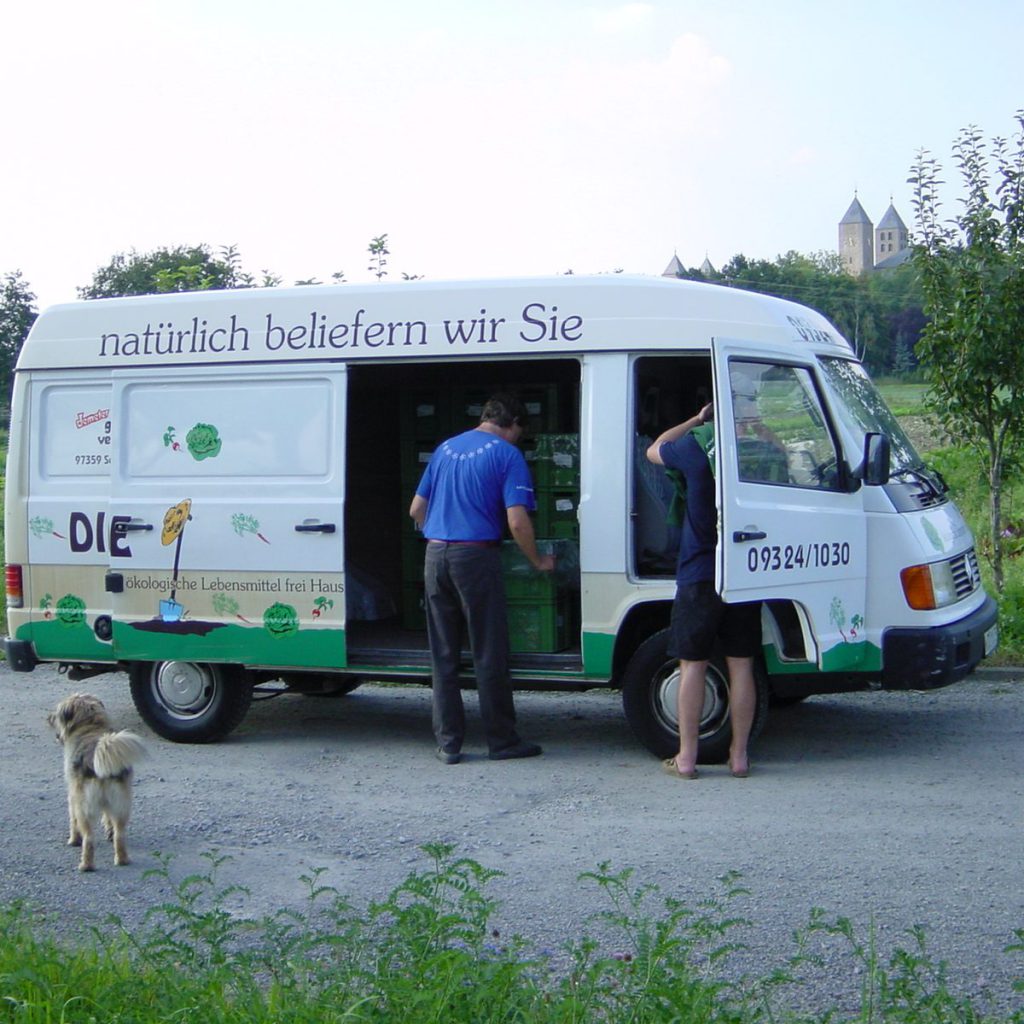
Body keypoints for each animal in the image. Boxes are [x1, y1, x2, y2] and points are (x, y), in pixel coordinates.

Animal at [48, 692, 147, 868]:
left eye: (58, 714)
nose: (49, 718)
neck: (90, 725)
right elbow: (107, 818)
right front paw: (108, 831)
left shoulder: (73, 795)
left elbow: (72, 820)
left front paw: (73, 840)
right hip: (121, 806)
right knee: (119, 835)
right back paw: (122, 859)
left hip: (85, 809)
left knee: (89, 838)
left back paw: (86, 865)